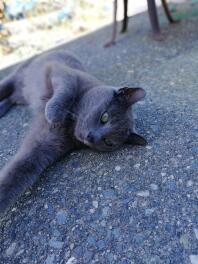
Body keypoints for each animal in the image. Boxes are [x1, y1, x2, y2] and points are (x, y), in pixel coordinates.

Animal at [0, 50, 146, 214]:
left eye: (108, 142)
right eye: (104, 117)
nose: (91, 137)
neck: (70, 124)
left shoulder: (43, 149)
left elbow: (18, 174)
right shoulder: (63, 71)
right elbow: (68, 89)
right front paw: (54, 115)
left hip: (20, 94)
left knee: (12, 98)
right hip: (18, 75)